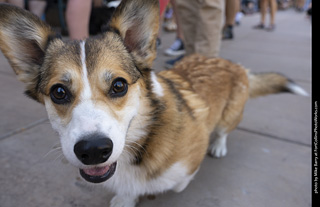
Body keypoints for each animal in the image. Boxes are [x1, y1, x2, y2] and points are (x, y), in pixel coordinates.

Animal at [0, 0, 308, 206]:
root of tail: (234, 65)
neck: (142, 141)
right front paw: (125, 199)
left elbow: (179, 183)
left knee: (222, 130)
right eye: (59, 92)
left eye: (119, 85)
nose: (93, 150)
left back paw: (219, 146)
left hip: (229, 115)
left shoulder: (186, 164)